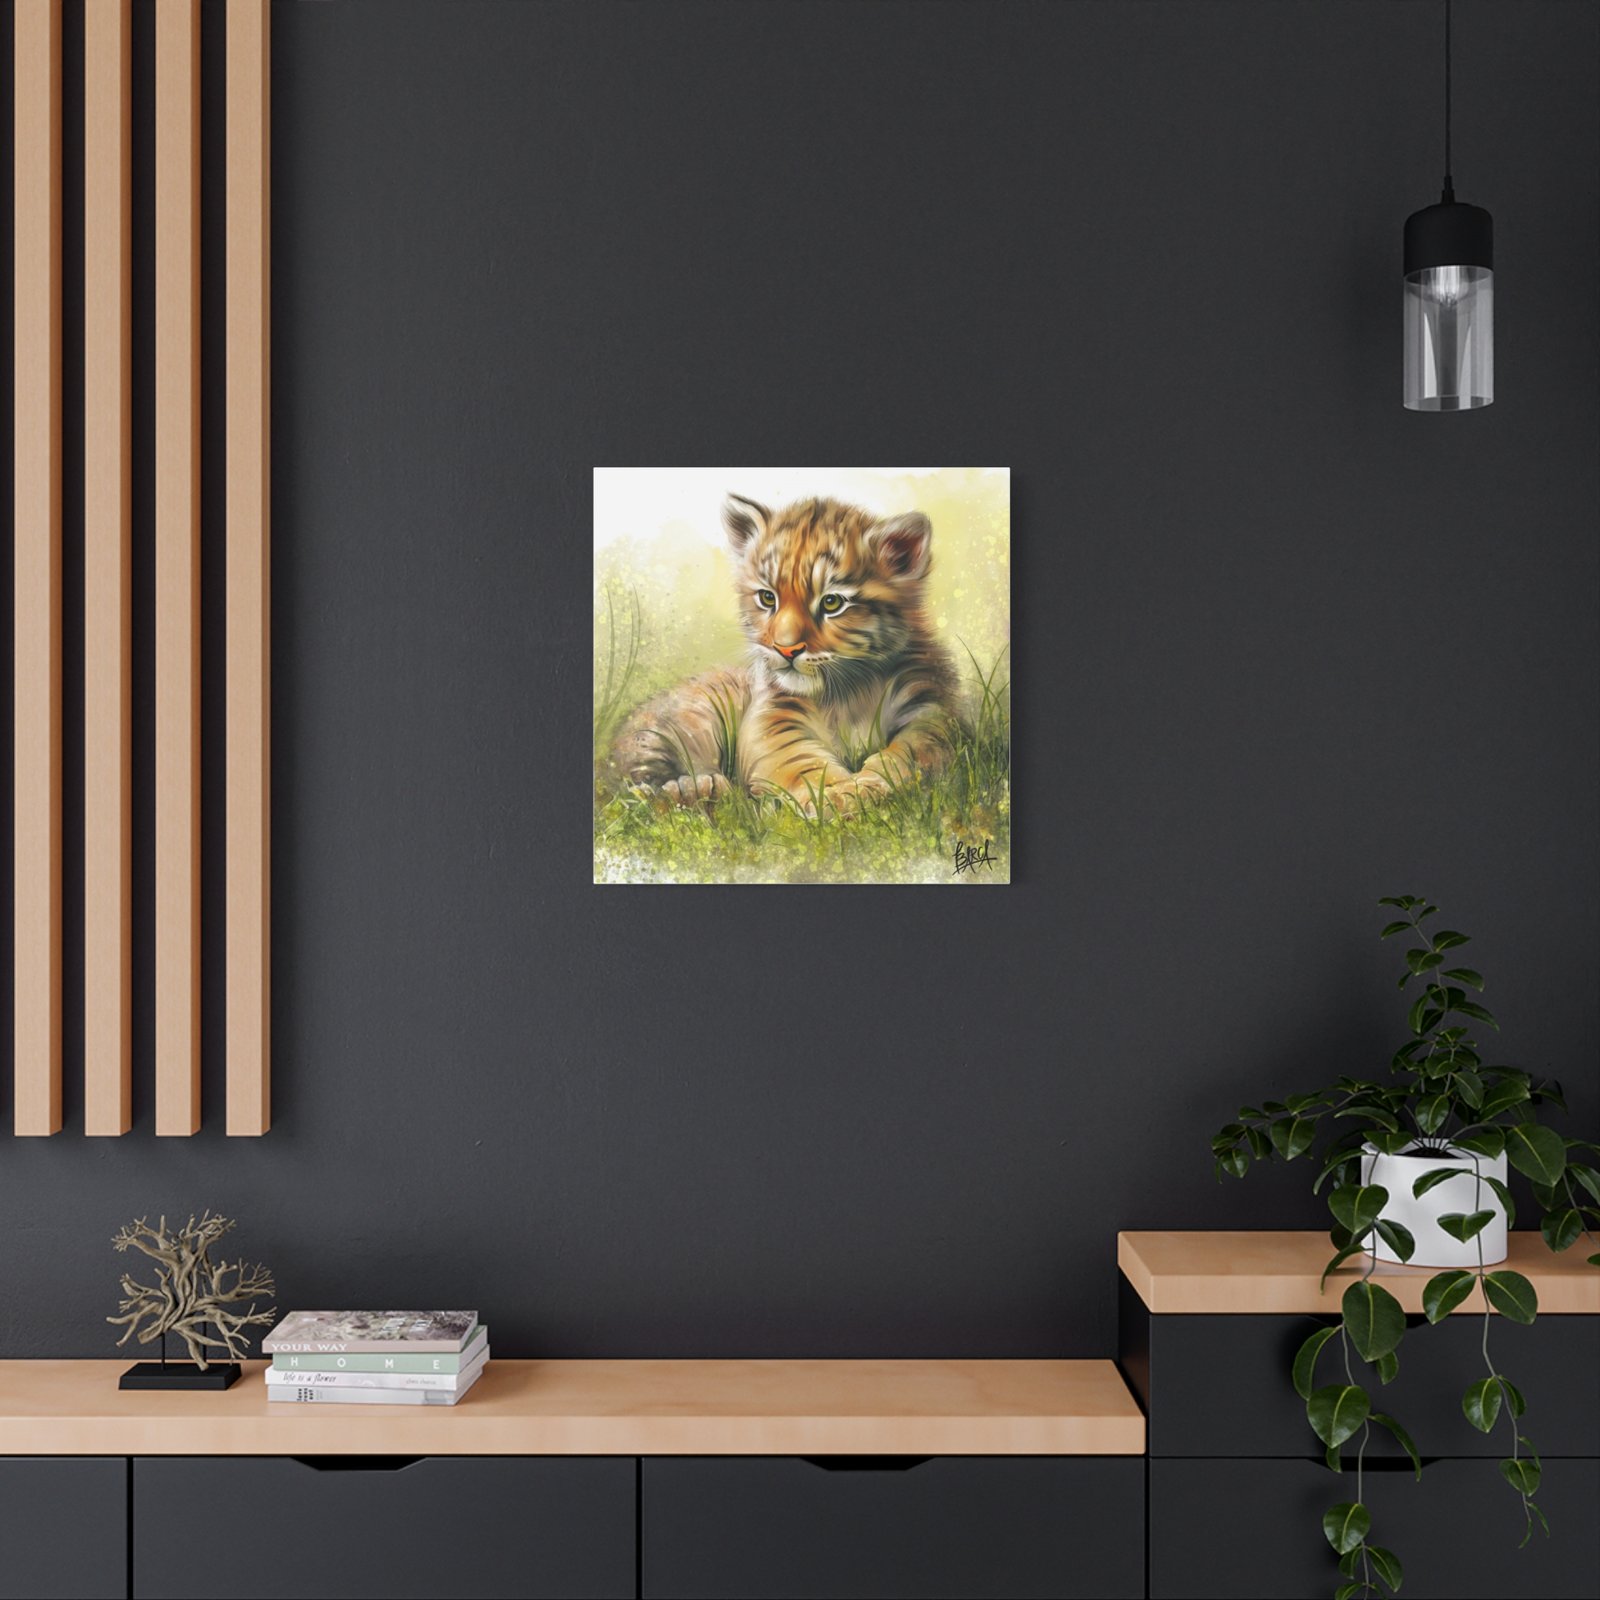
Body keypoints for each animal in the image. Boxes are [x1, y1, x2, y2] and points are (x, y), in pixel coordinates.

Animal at [606, 494, 959, 817]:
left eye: (832, 602)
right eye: (767, 598)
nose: (785, 648)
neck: (848, 692)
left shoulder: (928, 710)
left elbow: (911, 751)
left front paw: (867, 786)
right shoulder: (774, 717)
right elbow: (799, 759)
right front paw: (838, 795)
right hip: (669, 728)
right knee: (633, 785)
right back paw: (696, 790)